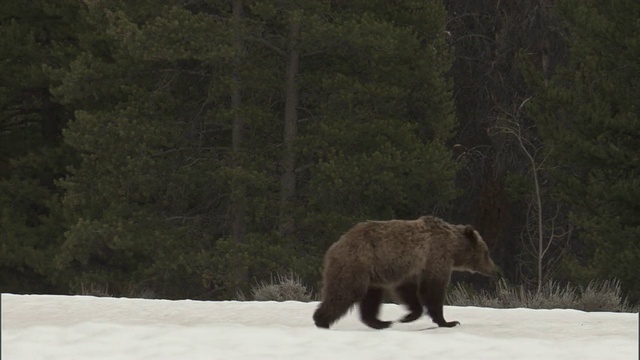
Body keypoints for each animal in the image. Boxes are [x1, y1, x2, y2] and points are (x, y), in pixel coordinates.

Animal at [312, 215, 498, 330]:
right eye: (486, 252)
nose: (494, 269)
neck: (453, 248)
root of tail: (334, 246)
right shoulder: (435, 258)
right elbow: (433, 290)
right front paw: (449, 322)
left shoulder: (412, 269)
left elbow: (408, 291)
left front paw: (407, 316)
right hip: (356, 265)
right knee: (344, 292)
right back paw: (321, 320)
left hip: (372, 274)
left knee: (371, 297)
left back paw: (381, 322)